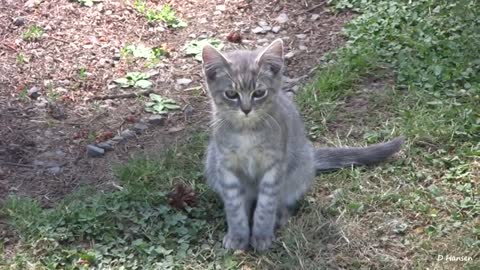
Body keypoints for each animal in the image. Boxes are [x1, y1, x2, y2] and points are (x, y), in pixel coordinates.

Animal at [202, 38, 404, 251]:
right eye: (231, 94)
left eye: (259, 93)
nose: (246, 109)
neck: (247, 133)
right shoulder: (225, 167)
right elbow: (234, 207)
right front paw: (238, 236)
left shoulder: (274, 167)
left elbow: (266, 206)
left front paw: (262, 235)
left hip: (299, 170)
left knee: (284, 201)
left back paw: (280, 216)